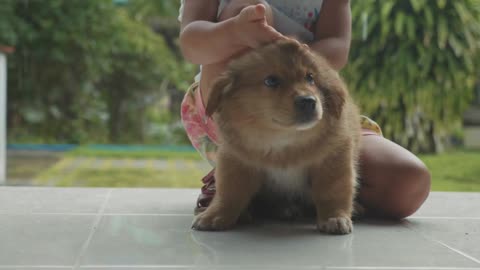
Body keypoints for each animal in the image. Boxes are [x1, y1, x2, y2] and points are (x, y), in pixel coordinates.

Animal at [191, 40, 360, 234]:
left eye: (310, 78)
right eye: (271, 81)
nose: (309, 101)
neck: (283, 142)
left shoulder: (334, 159)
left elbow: (332, 192)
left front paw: (335, 217)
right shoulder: (235, 160)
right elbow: (229, 194)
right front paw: (215, 215)